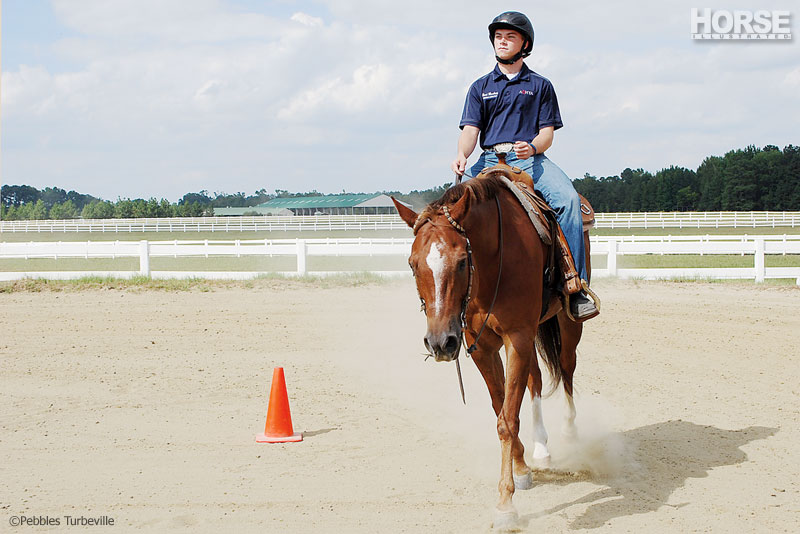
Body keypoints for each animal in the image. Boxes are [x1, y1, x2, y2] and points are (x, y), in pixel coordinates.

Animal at [392, 176, 588, 532]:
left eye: (461, 261)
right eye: (413, 264)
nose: (440, 343)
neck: (493, 262)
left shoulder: (517, 338)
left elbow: (507, 419)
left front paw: (505, 504)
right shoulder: (481, 346)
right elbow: (502, 410)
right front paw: (522, 467)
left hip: (567, 324)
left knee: (566, 370)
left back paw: (569, 430)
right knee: (536, 381)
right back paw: (541, 447)